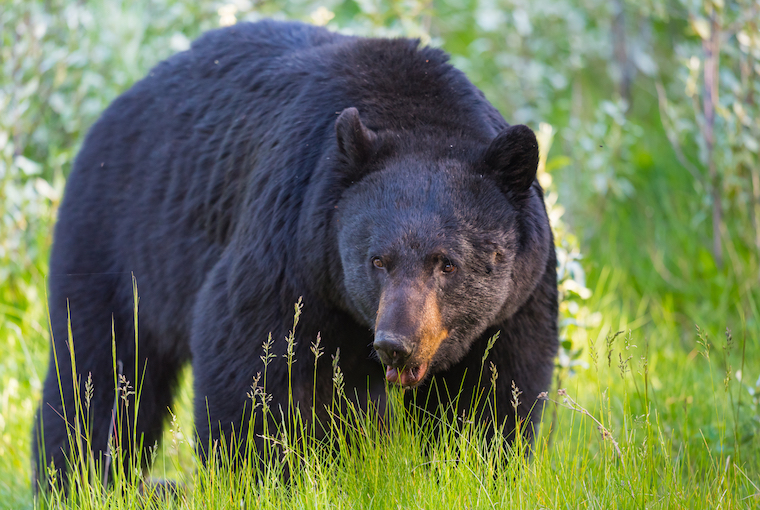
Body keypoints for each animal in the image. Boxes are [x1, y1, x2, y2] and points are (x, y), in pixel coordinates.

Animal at [34, 19, 560, 488]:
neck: (420, 118)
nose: (396, 342)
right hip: (119, 240)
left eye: (447, 263)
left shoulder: (519, 299)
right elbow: (252, 366)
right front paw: (264, 477)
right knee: (99, 369)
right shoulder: (292, 244)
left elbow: (493, 394)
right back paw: (77, 480)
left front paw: (474, 468)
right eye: (377, 260)